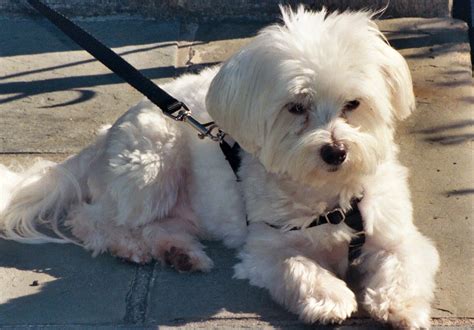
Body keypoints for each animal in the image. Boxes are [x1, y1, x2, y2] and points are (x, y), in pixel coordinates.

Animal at [0, 6, 438, 328]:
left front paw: (400, 306)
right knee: (90, 217)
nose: (335, 151)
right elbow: (298, 266)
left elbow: (404, 263)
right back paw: (129, 245)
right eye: (296, 107)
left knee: (158, 226)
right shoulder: (265, 247)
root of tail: (104, 137)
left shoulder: (396, 233)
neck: (329, 197)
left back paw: (178, 251)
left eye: (354, 104)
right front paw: (329, 297)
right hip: (152, 163)